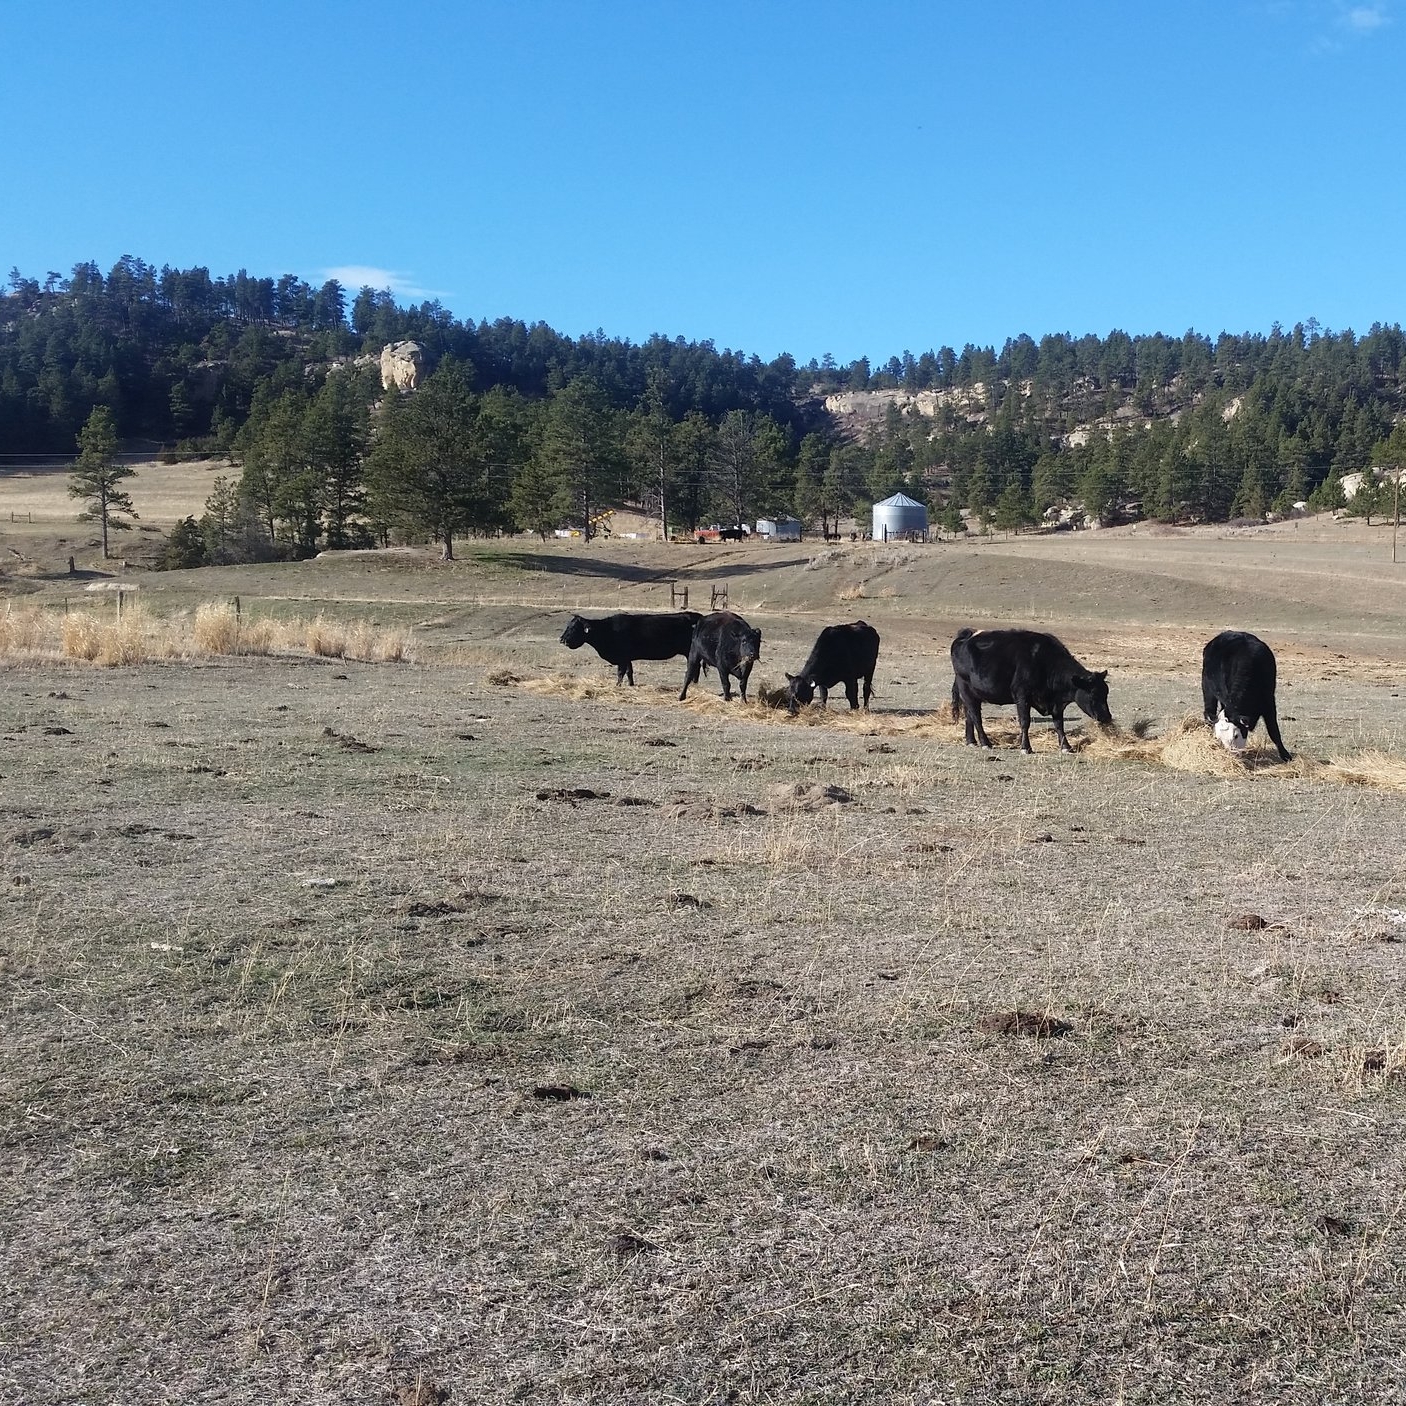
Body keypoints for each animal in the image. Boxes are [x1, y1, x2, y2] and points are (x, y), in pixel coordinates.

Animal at [559, 610, 703, 686]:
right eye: (568, 626)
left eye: (574, 628)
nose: (561, 639)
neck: (607, 630)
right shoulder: (627, 658)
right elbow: (629, 671)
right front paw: (631, 684)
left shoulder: (622, 657)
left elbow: (620, 672)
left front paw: (617, 685)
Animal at [950, 629, 1113, 753]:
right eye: (1093, 695)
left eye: (1106, 693)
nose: (1106, 717)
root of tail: (966, 635)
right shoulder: (1022, 696)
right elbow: (1025, 722)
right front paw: (1026, 747)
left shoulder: (1057, 704)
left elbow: (1059, 725)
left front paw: (1066, 747)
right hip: (966, 690)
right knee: (976, 717)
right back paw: (985, 743)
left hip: (971, 695)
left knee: (969, 715)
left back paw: (971, 741)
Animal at [1203, 632, 1287, 764]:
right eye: (1219, 738)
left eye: (1236, 735)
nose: (1232, 755)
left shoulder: (1269, 701)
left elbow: (1273, 731)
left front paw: (1286, 756)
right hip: (1207, 687)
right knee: (1209, 710)